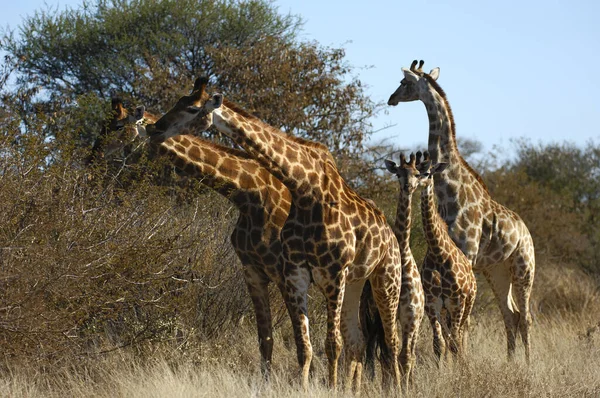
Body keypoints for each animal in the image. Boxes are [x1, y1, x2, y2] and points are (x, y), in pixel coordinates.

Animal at [146, 77, 404, 392]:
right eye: (178, 101)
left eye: (193, 108)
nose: (155, 128)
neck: (304, 187)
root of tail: (390, 234)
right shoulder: (294, 273)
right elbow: (302, 345)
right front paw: (305, 389)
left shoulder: (331, 273)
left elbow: (332, 344)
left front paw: (330, 389)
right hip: (356, 282)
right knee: (359, 340)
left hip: (386, 279)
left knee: (391, 341)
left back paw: (398, 388)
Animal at [390, 59, 536, 364]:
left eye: (404, 83)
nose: (391, 99)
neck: (450, 187)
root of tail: (526, 232)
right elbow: (449, 323)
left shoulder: (467, 252)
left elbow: (462, 322)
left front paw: (459, 360)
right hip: (497, 270)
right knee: (511, 314)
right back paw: (510, 362)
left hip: (523, 267)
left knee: (526, 317)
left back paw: (529, 365)